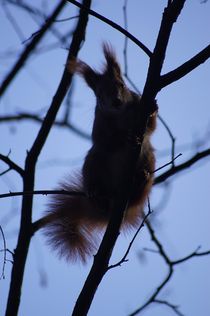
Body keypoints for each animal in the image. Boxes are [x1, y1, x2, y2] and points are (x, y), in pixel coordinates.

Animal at [37, 43, 157, 262]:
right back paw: (96, 194)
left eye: (121, 85)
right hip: (93, 162)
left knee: (139, 190)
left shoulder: (138, 109)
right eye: (98, 94)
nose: (116, 102)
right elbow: (107, 141)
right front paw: (125, 138)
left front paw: (152, 109)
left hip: (148, 158)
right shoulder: (100, 126)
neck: (121, 114)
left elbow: (150, 128)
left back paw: (141, 180)